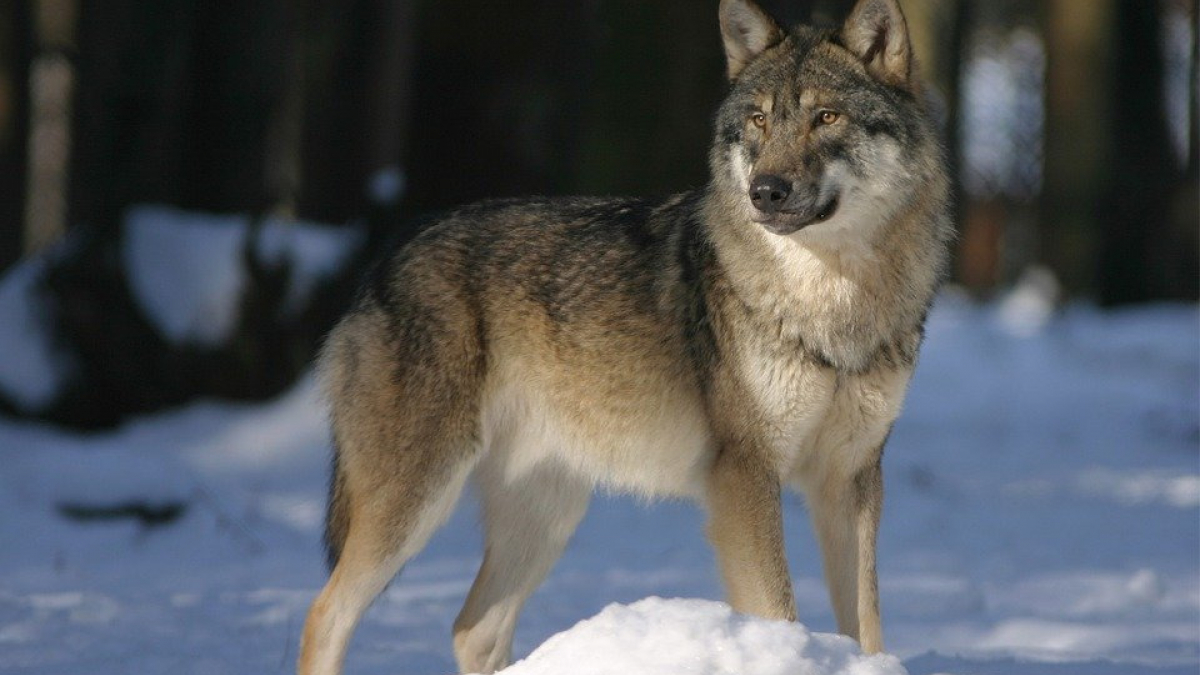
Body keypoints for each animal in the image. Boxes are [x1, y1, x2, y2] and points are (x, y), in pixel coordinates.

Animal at [297, 0, 945, 667]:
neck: (831, 305)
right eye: (760, 119)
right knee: (325, 614)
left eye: (826, 116)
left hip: (546, 515)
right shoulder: (744, 477)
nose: (764, 191)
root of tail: (386, 257)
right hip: (417, 499)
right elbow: (780, 610)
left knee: (472, 627)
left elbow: (868, 629)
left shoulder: (851, 480)